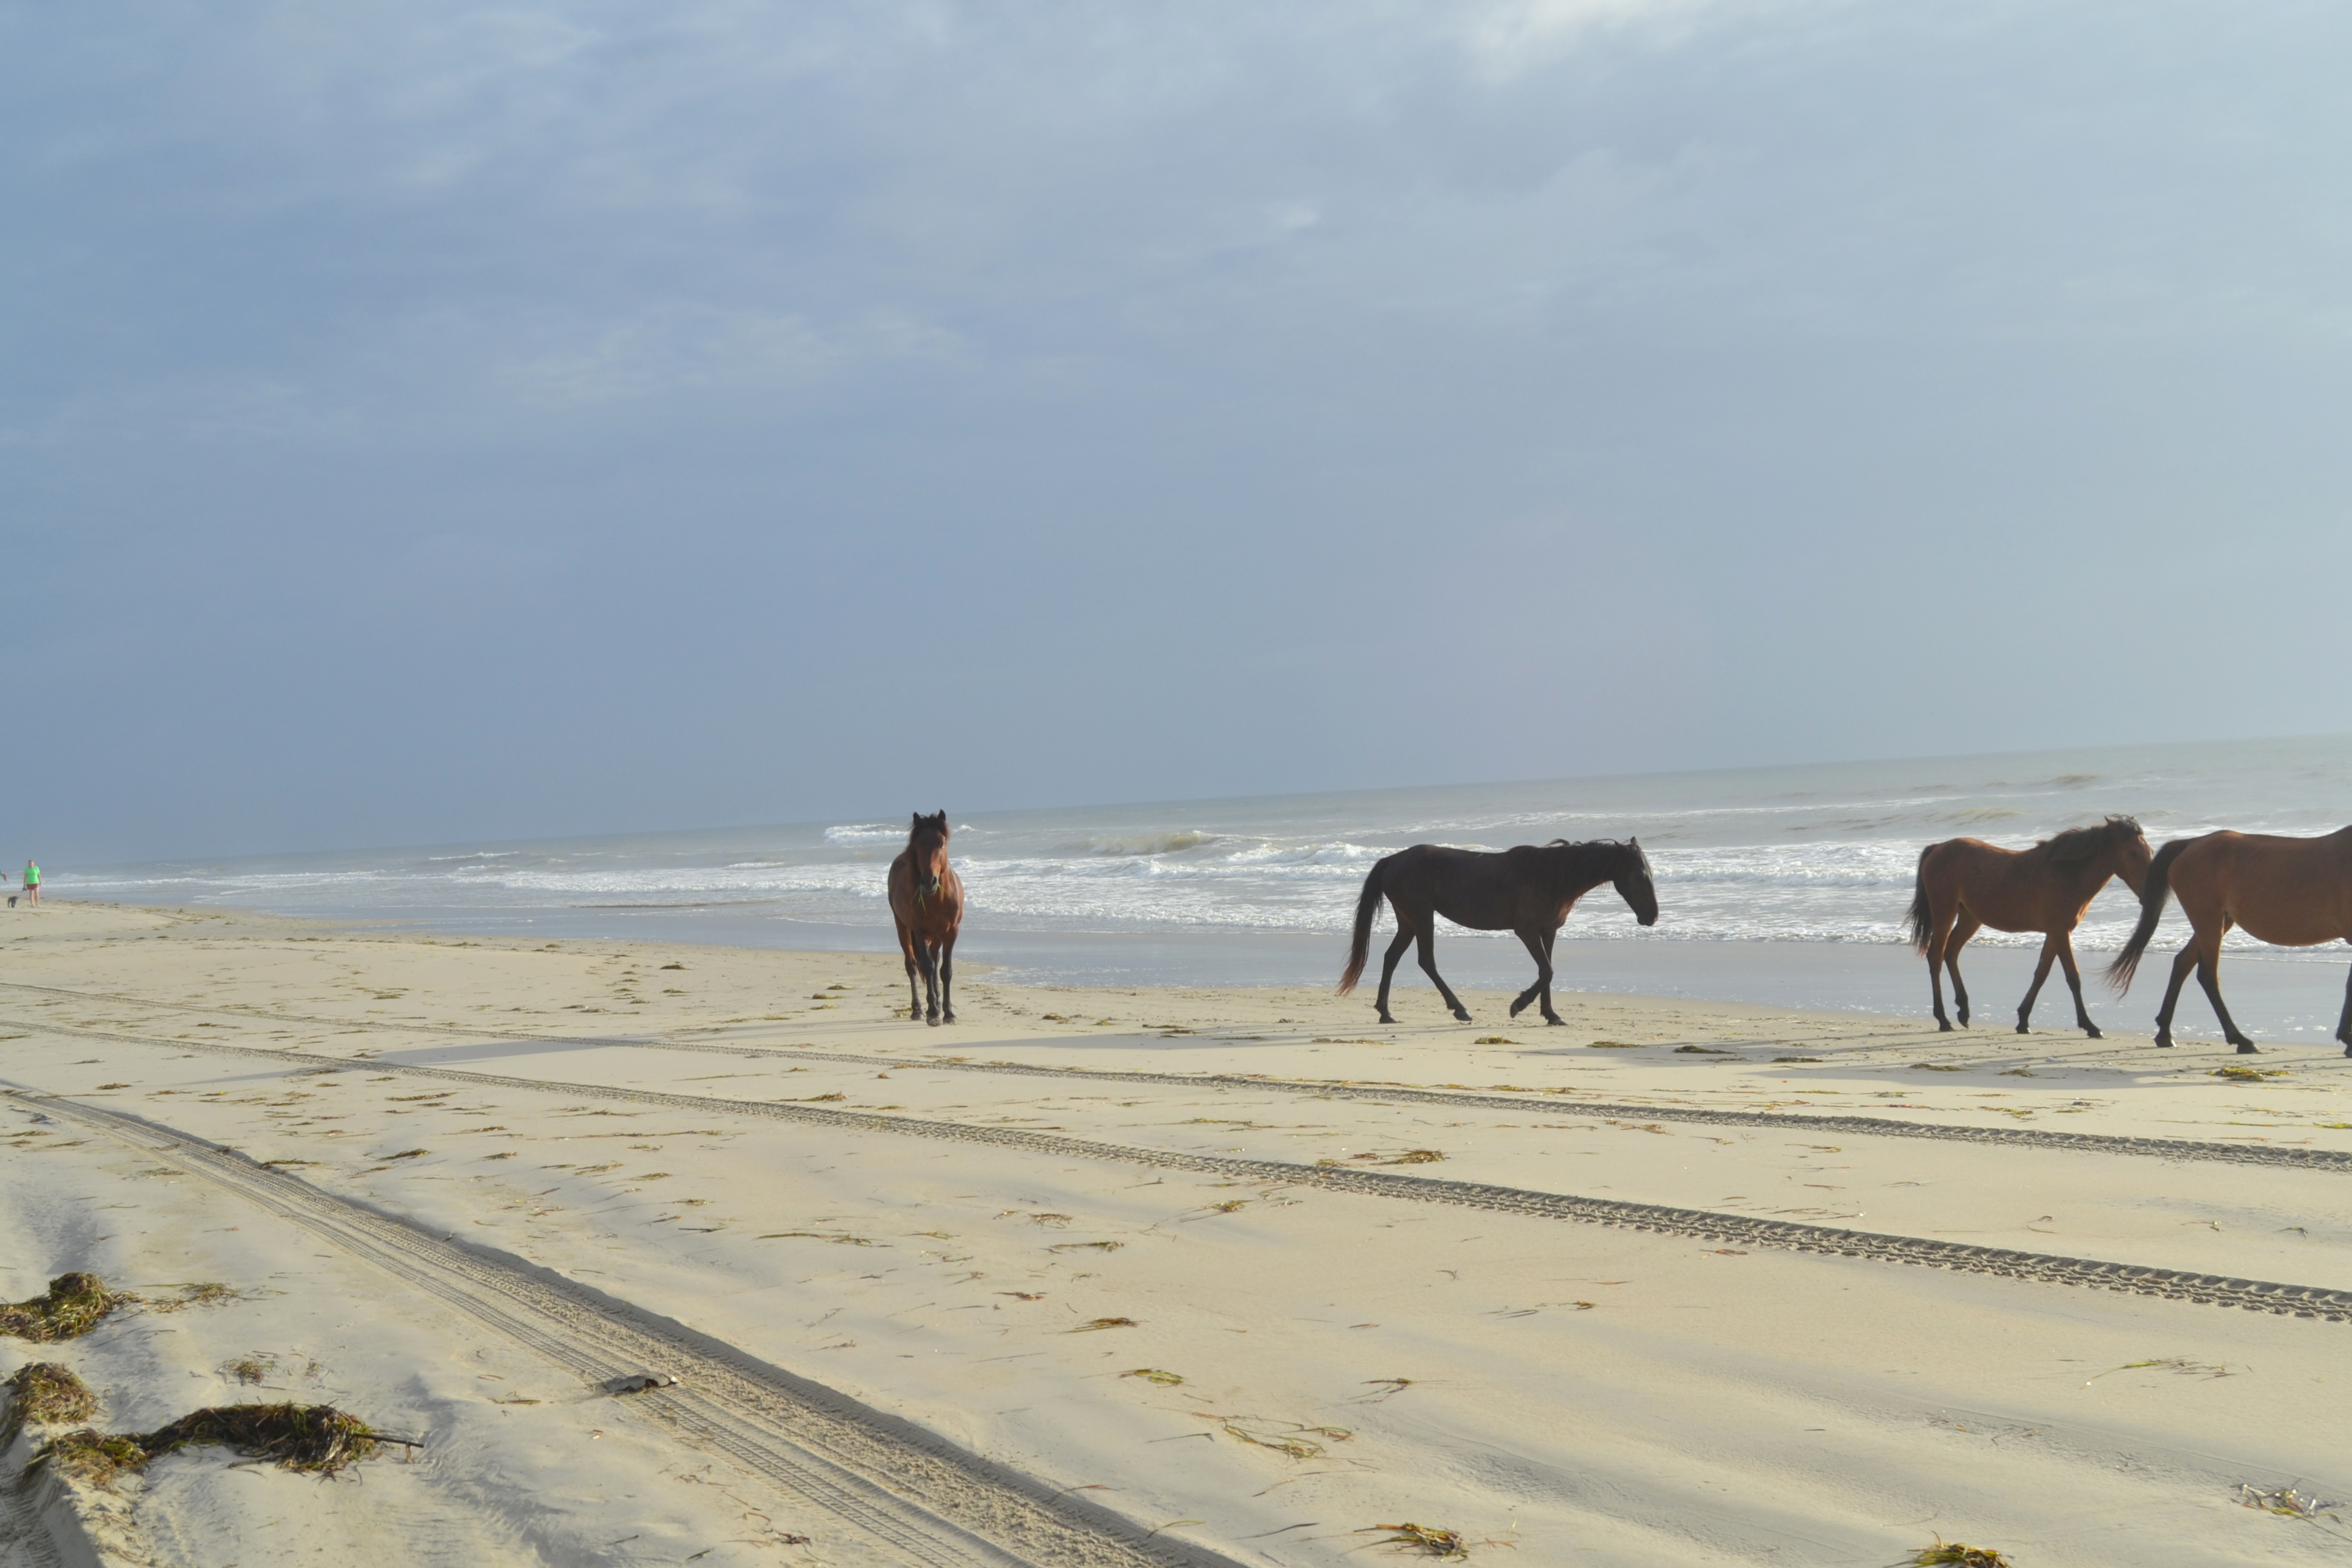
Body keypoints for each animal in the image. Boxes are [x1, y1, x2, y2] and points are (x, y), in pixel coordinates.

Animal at [887, 811, 964, 1026]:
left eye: (941, 843)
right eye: (919, 844)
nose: (929, 882)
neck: (937, 898)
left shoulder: (952, 932)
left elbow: (945, 971)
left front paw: (948, 1013)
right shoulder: (920, 932)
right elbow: (928, 968)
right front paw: (934, 1014)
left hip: (936, 936)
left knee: (936, 962)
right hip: (903, 928)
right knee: (913, 965)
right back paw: (919, 1010)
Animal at [1339, 839, 1658, 1025]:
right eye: (1640, 875)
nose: (1652, 916)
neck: (1550, 876)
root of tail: (1392, 860)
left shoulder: (1549, 932)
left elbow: (1548, 973)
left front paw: (1552, 1016)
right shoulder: (1527, 932)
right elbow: (1547, 971)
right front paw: (1518, 1006)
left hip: (1408, 921)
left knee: (1391, 959)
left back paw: (1386, 1013)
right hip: (1421, 917)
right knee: (1426, 961)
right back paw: (1460, 1009)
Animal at [1903, 815, 2151, 1037]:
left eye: (2149, 852)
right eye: (2133, 853)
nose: (2148, 894)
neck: (2067, 873)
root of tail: (1938, 848)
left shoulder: (2055, 934)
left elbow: (2041, 974)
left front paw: (2023, 1020)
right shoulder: (2061, 933)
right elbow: (2073, 977)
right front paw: (2090, 1026)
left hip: (1970, 918)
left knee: (1951, 953)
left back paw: (1963, 1012)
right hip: (1944, 913)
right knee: (1936, 957)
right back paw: (1943, 1019)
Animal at [2106, 826, 2352, 1054]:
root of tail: (2191, 843)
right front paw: (2347, 1041)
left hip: (2217, 923)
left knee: (2182, 963)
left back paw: (2165, 1033)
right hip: (2209, 923)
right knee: (2207, 976)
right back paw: (2240, 1039)